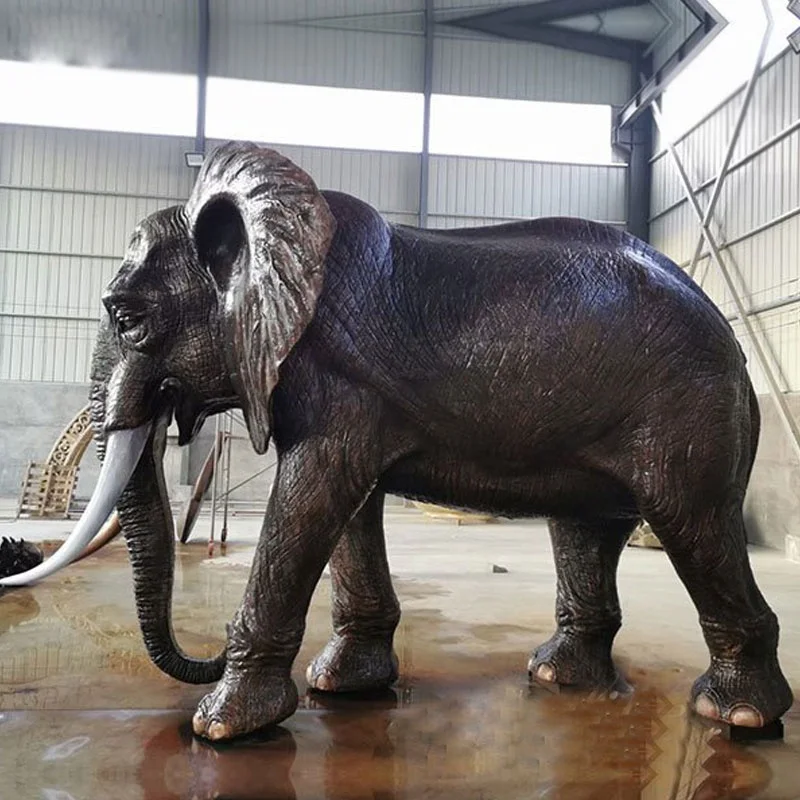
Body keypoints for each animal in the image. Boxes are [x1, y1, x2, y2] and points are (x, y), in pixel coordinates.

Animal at [2, 142, 792, 741]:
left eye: (126, 318)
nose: (207, 651)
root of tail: (731, 338)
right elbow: (351, 505)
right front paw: (339, 688)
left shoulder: (336, 379)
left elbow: (315, 493)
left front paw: (221, 727)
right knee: (585, 531)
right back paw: (557, 677)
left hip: (688, 414)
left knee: (694, 526)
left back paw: (738, 716)